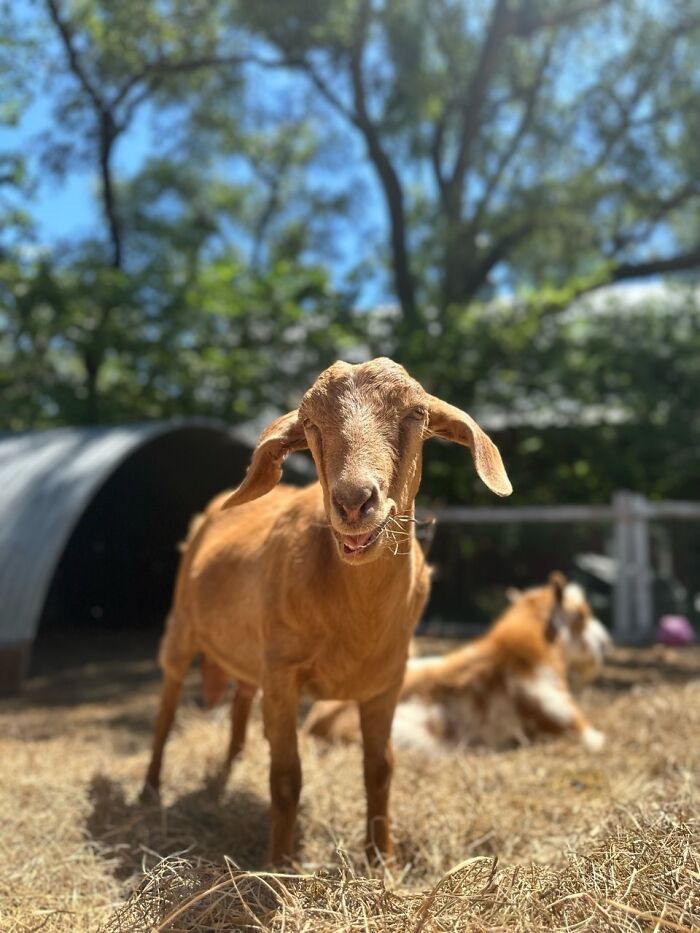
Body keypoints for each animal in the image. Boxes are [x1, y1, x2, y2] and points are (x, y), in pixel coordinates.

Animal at [142, 357, 512, 863]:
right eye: (311, 424)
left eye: (417, 413)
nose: (353, 502)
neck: (355, 616)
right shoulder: (283, 674)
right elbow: (285, 778)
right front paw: (278, 866)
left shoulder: (387, 680)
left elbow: (380, 770)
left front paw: (382, 861)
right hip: (181, 628)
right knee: (166, 709)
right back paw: (149, 789)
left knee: (239, 700)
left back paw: (231, 768)